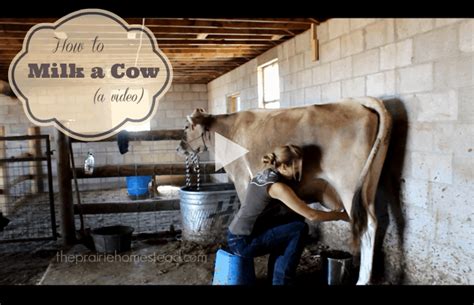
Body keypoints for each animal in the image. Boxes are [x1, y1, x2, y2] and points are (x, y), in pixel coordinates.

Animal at [176, 96, 390, 284]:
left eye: (186, 127)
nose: (179, 148)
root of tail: (355, 102)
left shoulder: (241, 178)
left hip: (348, 183)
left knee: (366, 225)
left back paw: (362, 280)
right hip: (369, 183)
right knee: (373, 222)